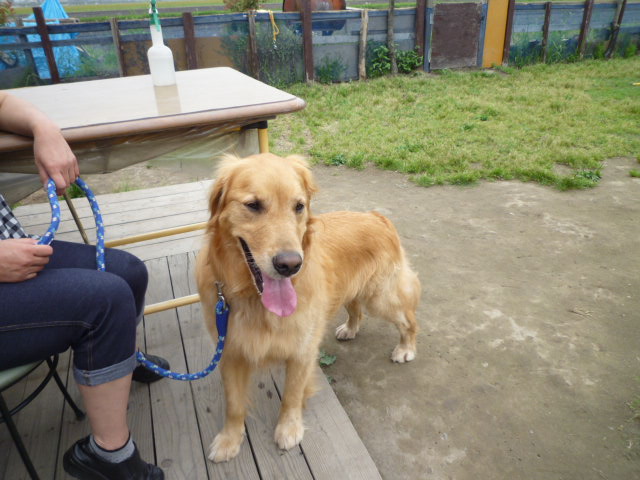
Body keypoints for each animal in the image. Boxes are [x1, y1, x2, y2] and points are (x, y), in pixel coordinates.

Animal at [196, 153, 420, 462]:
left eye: (299, 206)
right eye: (253, 205)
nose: (290, 265)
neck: (252, 297)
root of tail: (376, 216)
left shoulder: (301, 350)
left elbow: (291, 395)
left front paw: (289, 430)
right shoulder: (230, 351)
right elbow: (234, 403)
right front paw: (229, 439)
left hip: (382, 297)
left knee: (409, 319)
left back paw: (406, 348)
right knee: (357, 310)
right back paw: (350, 329)